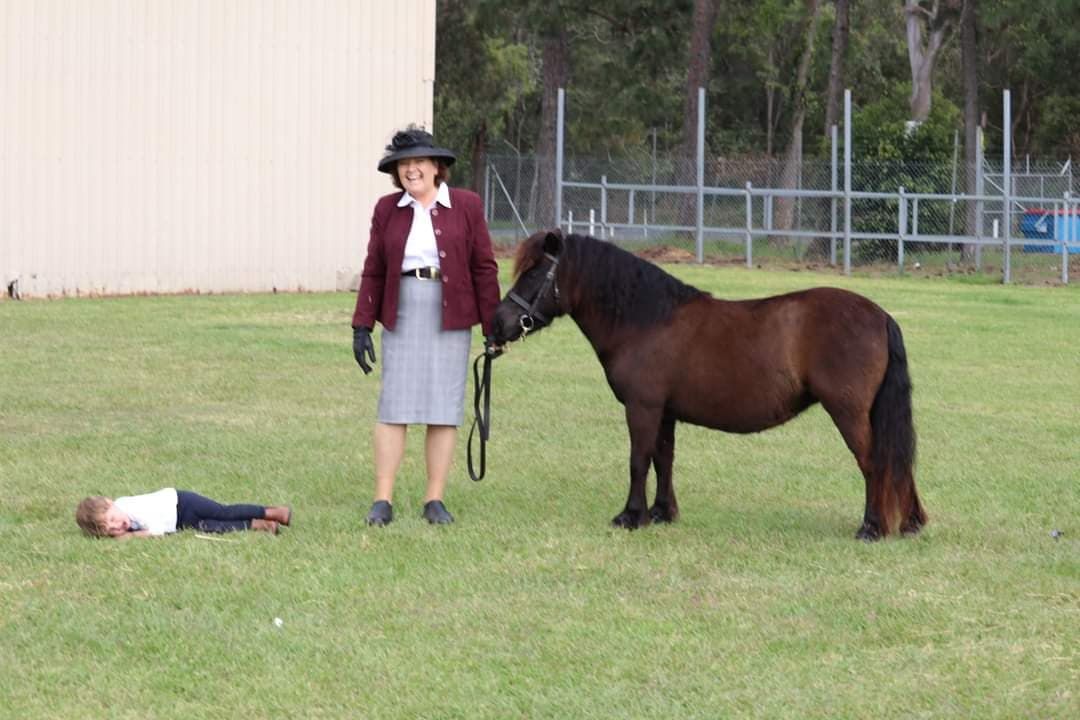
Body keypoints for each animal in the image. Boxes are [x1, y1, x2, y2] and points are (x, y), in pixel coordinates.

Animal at [494, 231, 924, 539]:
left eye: (534, 274)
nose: (497, 323)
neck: (645, 320)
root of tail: (880, 315)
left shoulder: (642, 407)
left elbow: (638, 459)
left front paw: (630, 516)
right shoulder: (664, 412)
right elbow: (663, 459)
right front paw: (661, 513)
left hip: (849, 412)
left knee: (874, 461)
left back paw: (872, 527)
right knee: (897, 461)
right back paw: (910, 523)